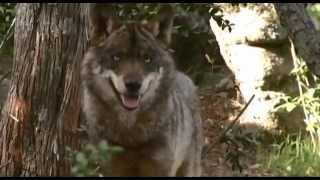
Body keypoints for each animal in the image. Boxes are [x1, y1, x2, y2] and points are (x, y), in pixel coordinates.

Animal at [80, 3, 202, 176]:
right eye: (117, 57)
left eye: (147, 59)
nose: (133, 85)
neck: (130, 133)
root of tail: (185, 77)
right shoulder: (111, 167)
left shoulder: (160, 168)